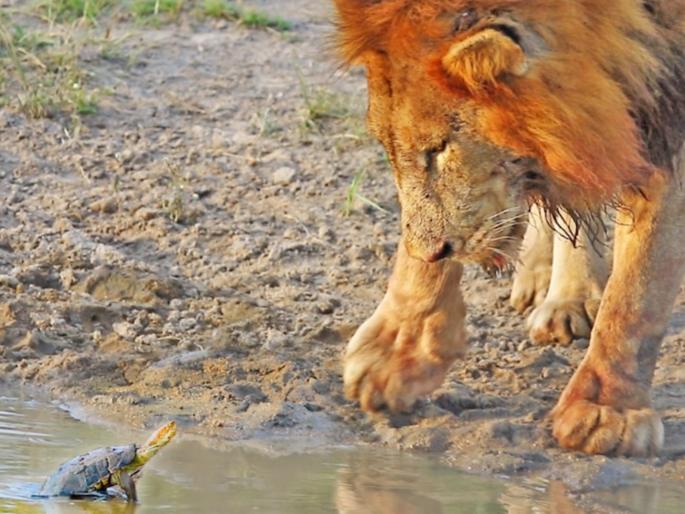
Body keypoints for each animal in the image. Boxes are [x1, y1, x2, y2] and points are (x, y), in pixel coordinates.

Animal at [333, 0, 685, 456]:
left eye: (440, 149)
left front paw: (606, 411)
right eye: (388, 148)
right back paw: (560, 295)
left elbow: (637, 291)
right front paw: (399, 350)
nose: (430, 250)